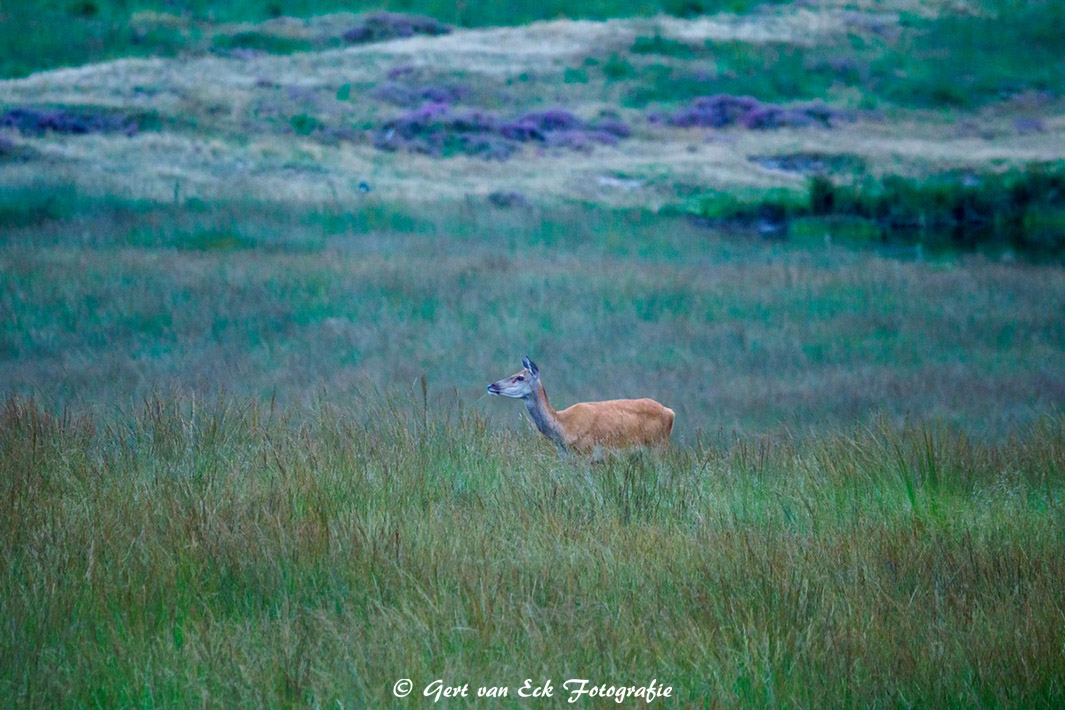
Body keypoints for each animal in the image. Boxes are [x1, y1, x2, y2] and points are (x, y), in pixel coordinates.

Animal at [485, 357, 673, 457]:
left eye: (520, 377)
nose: (491, 385)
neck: (563, 428)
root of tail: (671, 412)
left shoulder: (587, 452)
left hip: (658, 447)